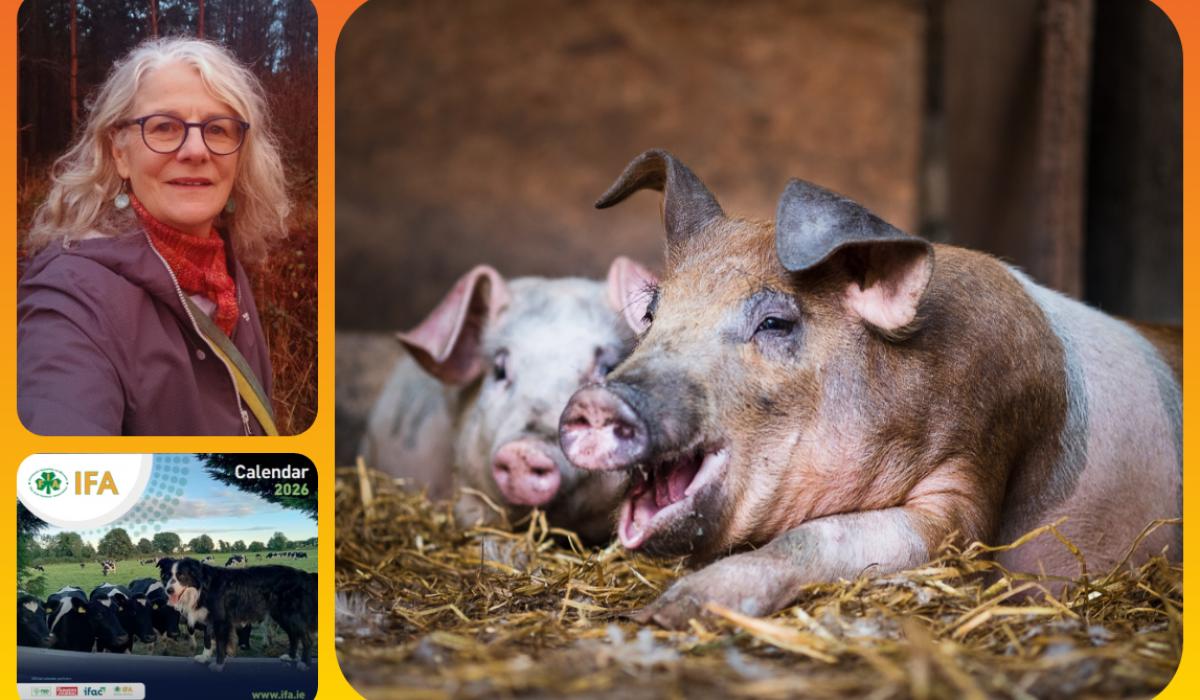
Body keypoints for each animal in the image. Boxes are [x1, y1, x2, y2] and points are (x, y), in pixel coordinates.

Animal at [559, 149, 1181, 628]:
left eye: (774, 323)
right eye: (651, 314)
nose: (597, 399)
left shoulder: (974, 481)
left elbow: (821, 536)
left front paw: (666, 612)